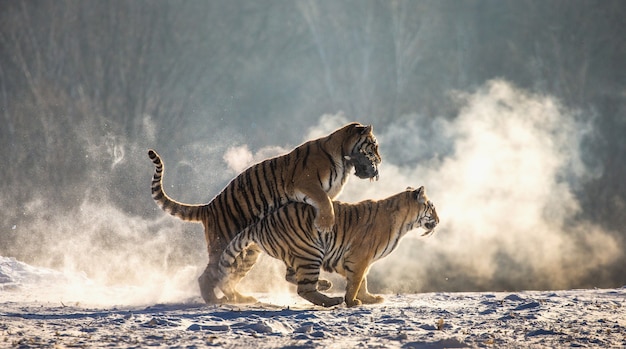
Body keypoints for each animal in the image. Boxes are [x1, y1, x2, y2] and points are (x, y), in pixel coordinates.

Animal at [150, 121, 380, 302]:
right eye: (374, 145)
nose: (379, 161)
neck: (344, 159)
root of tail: (208, 207)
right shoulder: (306, 183)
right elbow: (325, 203)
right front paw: (326, 223)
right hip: (222, 242)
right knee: (209, 275)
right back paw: (214, 300)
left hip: (248, 253)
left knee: (230, 277)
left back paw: (242, 298)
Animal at [217, 186, 436, 306]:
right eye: (432, 207)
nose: (439, 220)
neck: (404, 223)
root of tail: (260, 223)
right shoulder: (359, 257)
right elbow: (356, 281)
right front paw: (352, 301)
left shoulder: (358, 260)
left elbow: (362, 281)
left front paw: (369, 299)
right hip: (310, 252)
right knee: (304, 289)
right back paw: (331, 300)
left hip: (297, 255)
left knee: (291, 277)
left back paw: (325, 284)